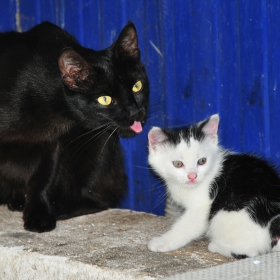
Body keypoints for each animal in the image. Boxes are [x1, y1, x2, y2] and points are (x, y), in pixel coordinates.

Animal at [0, 21, 149, 232]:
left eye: (137, 86)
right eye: (105, 99)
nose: (135, 113)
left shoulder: (52, 142)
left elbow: (42, 179)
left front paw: (39, 215)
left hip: (98, 140)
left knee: (99, 199)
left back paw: (54, 207)